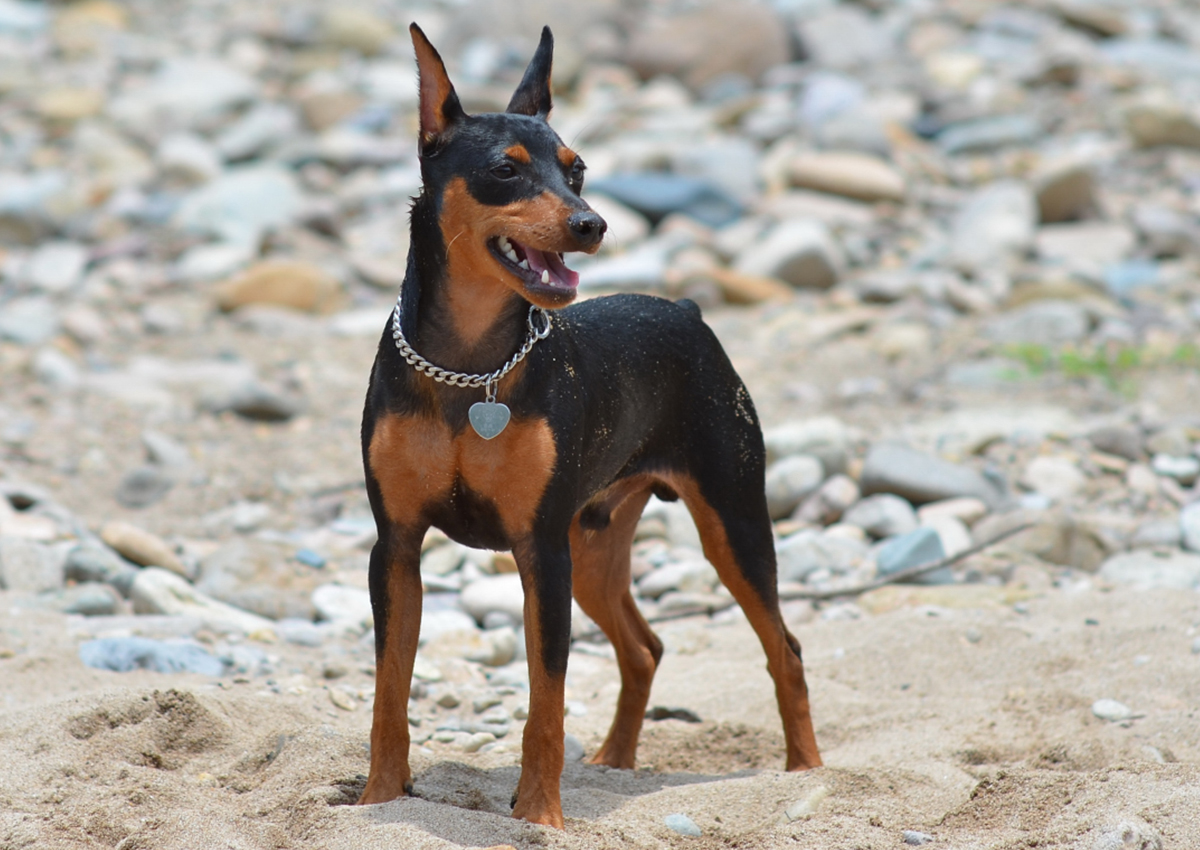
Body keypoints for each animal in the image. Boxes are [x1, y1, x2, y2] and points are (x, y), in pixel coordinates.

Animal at [357, 23, 825, 825]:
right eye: (505, 171)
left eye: (578, 170)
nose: (592, 223)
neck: (471, 370)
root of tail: (688, 311)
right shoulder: (396, 547)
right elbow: (390, 692)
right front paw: (378, 800)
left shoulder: (538, 550)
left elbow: (546, 702)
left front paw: (540, 816)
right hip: (595, 545)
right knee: (645, 648)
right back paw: (615, 761)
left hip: (729, 521)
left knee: (783, 647)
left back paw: (806, 773)